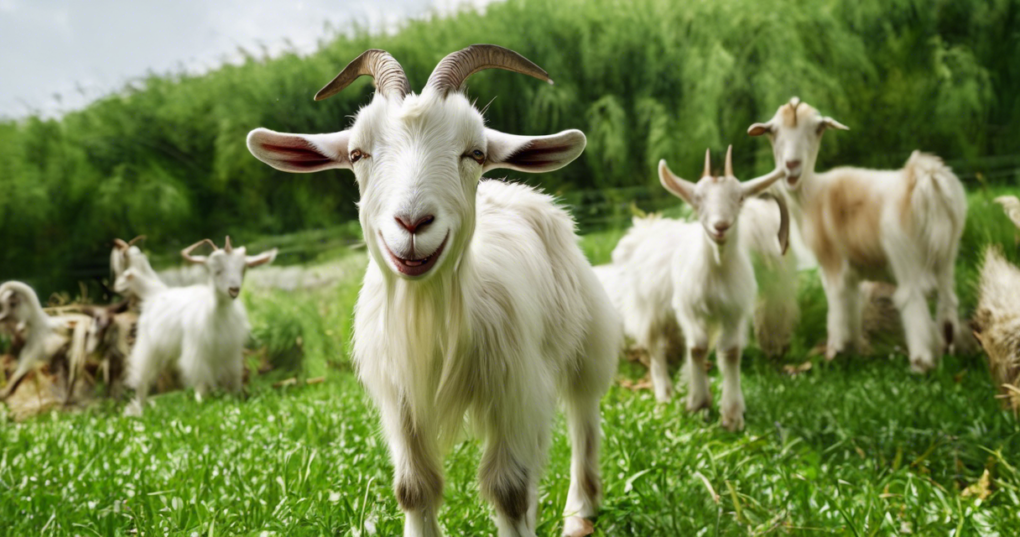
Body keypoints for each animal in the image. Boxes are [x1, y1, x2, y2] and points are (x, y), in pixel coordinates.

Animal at [124, 237, 276, 416]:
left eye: (243, 268)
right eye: (216, 270)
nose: (233, 290)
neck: (218, 313)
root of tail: (158, 293)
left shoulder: (231, 354)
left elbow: (233, 381)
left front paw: (237, 401)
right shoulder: (197, 354)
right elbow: (202, 384)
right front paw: (201, 404)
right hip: (148, 347)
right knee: (142, 380)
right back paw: (139, 410)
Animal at [246, 46, 621, 537]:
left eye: (475, 152)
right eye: (357, 153)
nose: (412, 222)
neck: (432, 315)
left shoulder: (515, 389)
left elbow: (508, 489)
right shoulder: (401, 399)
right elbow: (415, 488)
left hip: (587, 339)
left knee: (583, 414)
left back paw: (581, 512)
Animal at [748, 97, 969, 372]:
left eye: (816, 129)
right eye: (773, 131)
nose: (792, 165)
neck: (813, 194)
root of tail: (927, 180)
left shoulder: (832, 262)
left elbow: (837, 302)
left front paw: (836, 350)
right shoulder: (853, 270)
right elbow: (852, 302)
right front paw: (852, 349)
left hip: (905, 255)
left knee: (912, 296)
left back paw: (921, 363)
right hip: (947, 253)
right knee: (948, 299)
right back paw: (950, 350)